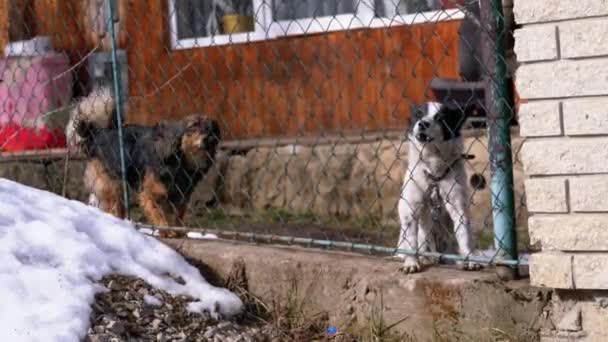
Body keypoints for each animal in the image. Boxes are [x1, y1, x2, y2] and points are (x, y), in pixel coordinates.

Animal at [396, 101, 482, 272]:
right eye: (418, 114)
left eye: (440, 117)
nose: (422, 123)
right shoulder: (409, 207)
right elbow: (411, 240)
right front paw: (411, 262)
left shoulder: (458, 206)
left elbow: (464, 235)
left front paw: (469, 259)